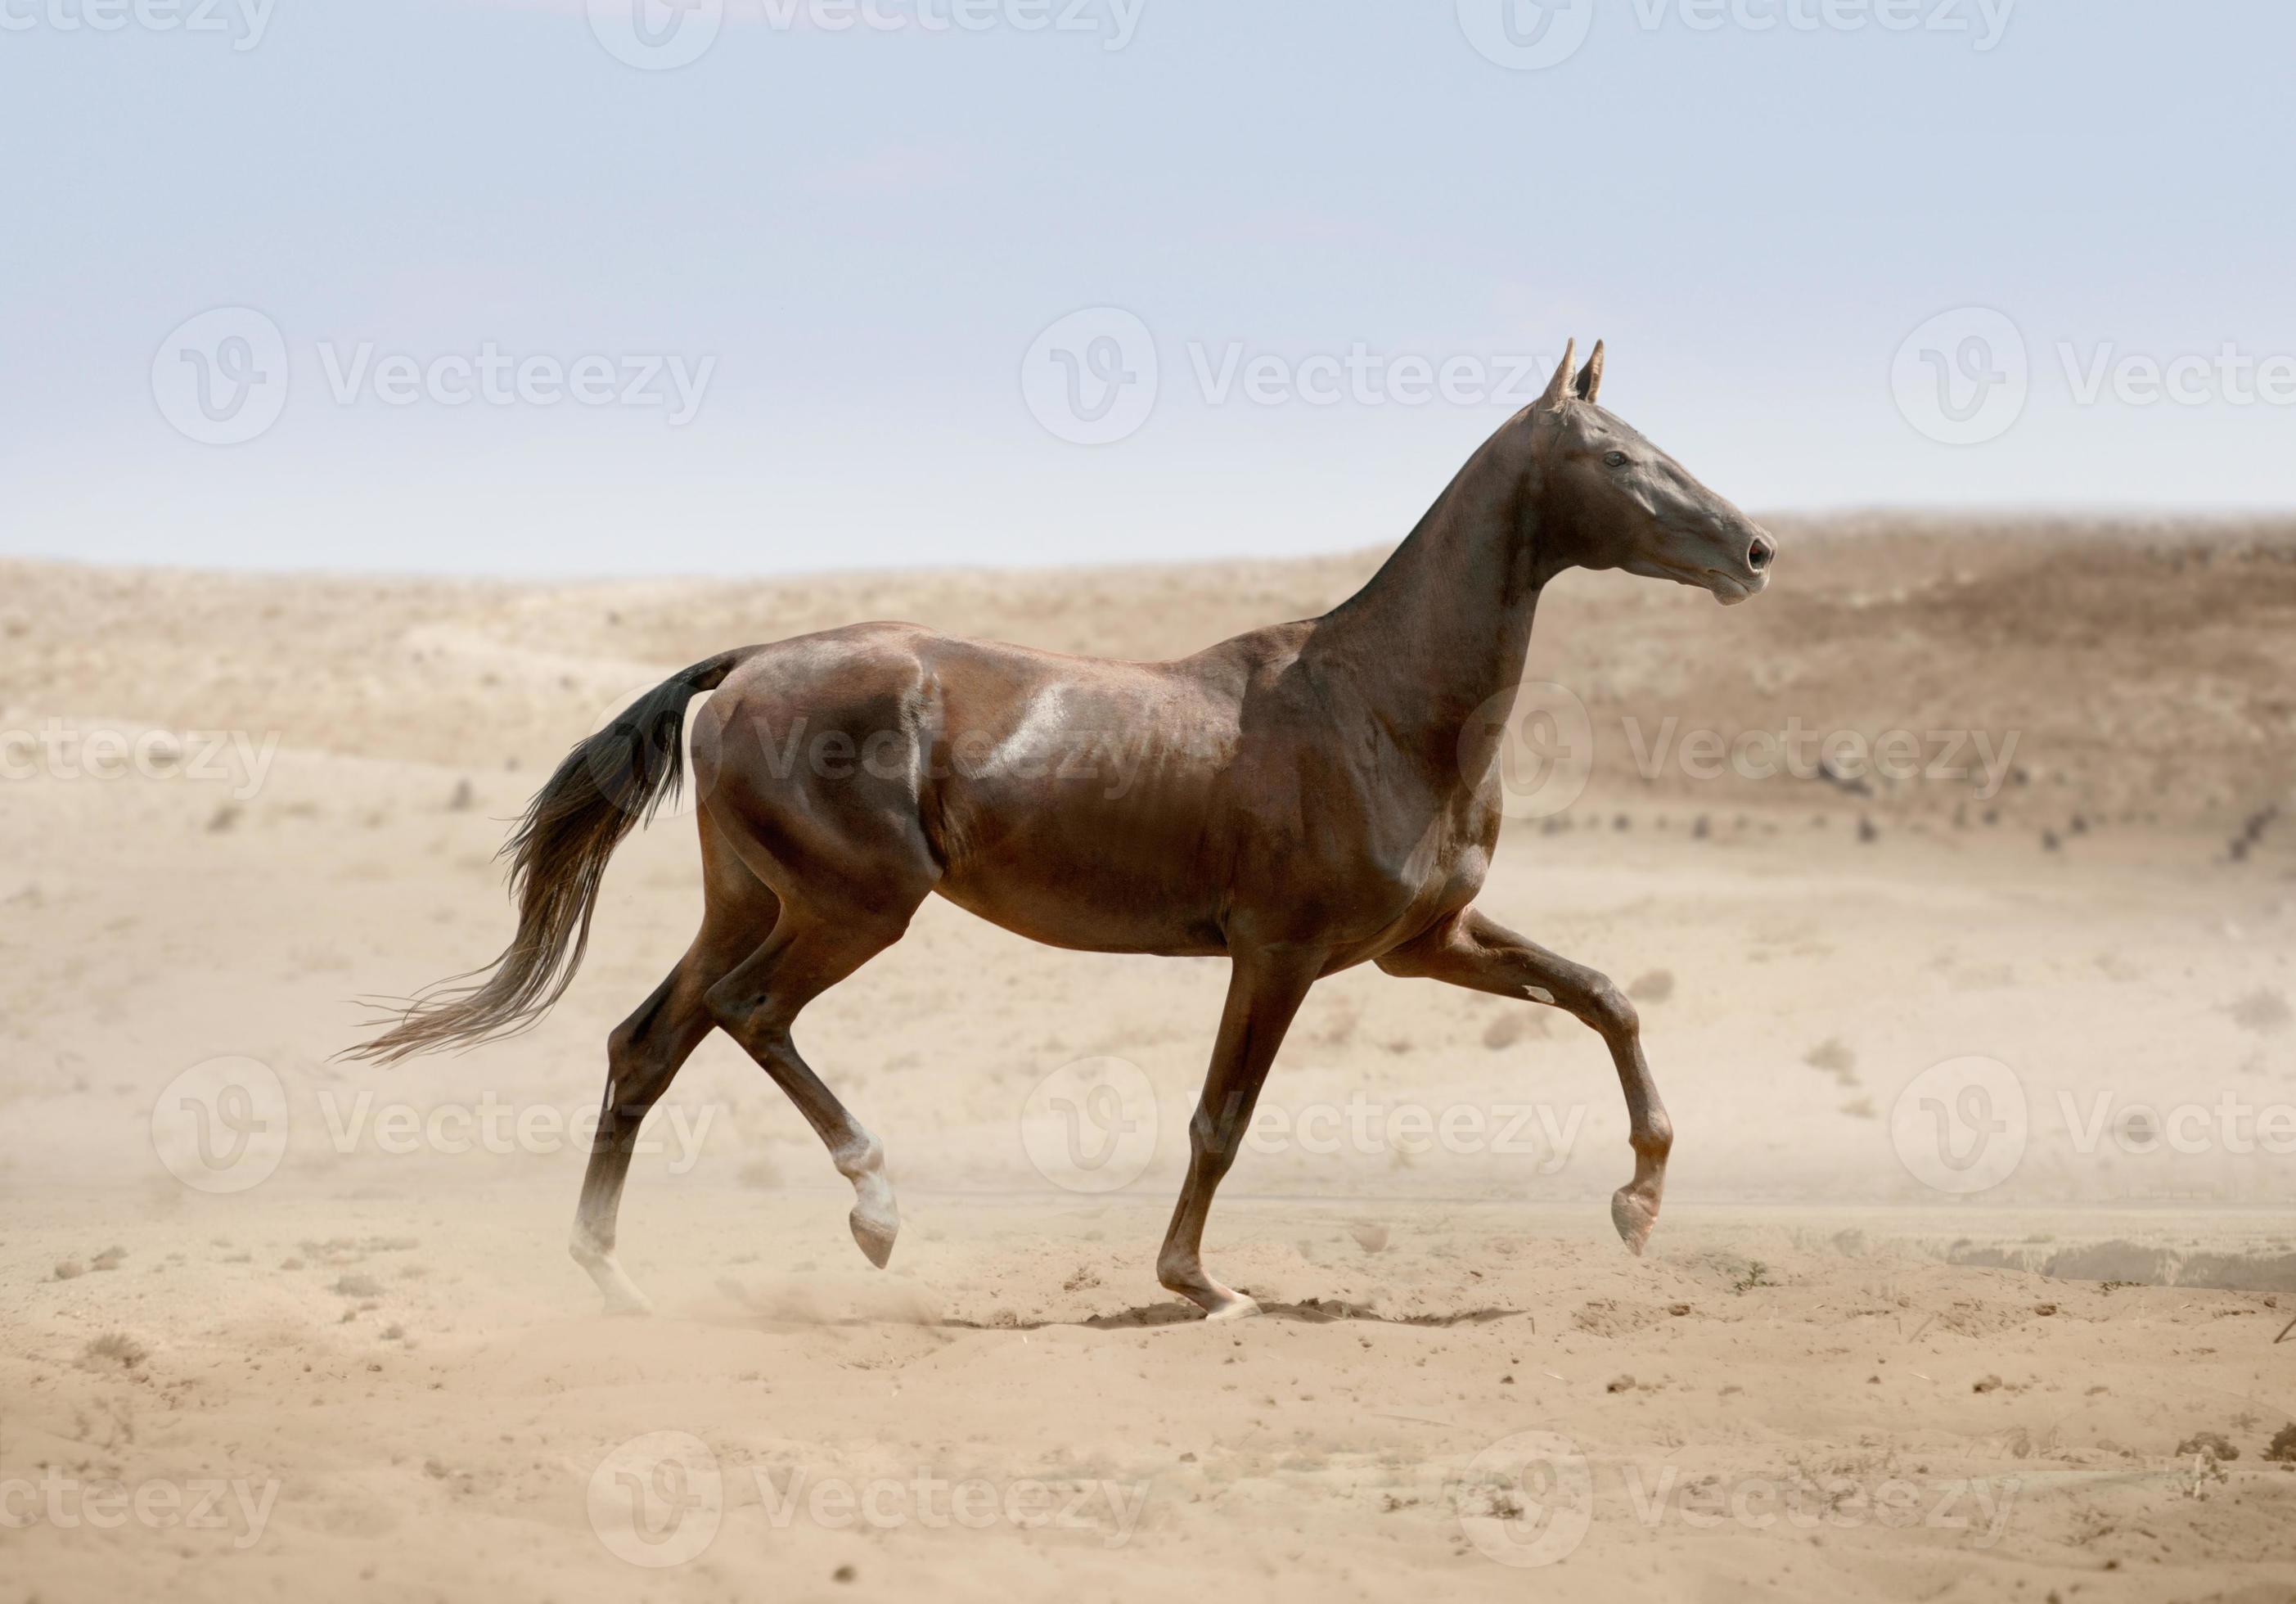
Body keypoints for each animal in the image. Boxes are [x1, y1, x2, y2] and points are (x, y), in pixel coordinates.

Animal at [349, 339, 1772, 1322]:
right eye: (1618, 458)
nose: (1753, 551)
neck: (1381, 703)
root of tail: (746, 668)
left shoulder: (1423, 945)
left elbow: (1603, 996)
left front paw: (1638, 1205)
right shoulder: (1281, 953)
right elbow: (1220, 1119)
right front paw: (1197, 1284)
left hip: (751, 899)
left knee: (648, 1043)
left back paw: (616, 1280)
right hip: (853, 908)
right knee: (753, 1018)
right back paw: (874, 1209)